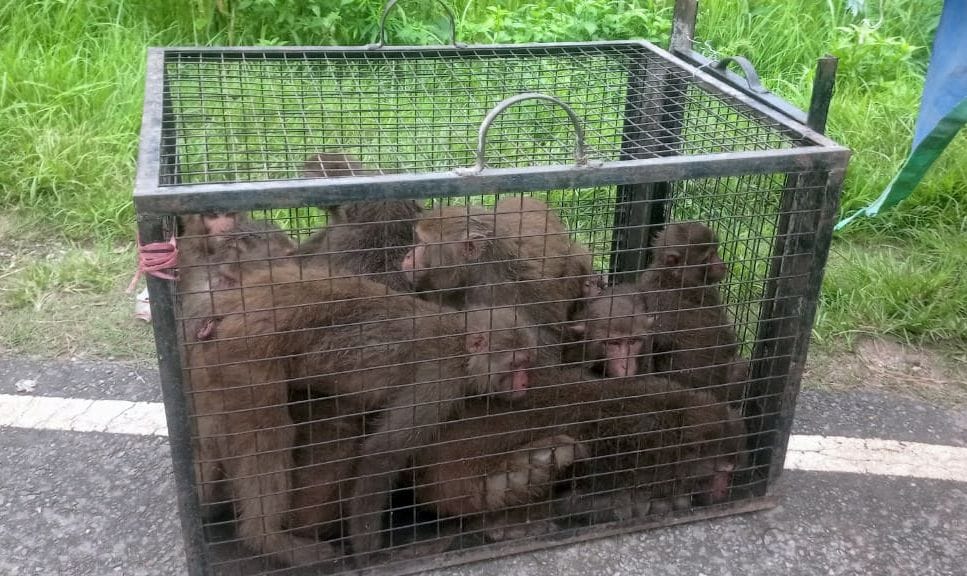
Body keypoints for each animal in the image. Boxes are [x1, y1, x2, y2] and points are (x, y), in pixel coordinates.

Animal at [637, 222, 748, 403]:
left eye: (716, 251)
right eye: (708, 257)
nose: (722, 264)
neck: (673, 275)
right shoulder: (709, 293)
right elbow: (728, 341)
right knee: (741, 366)